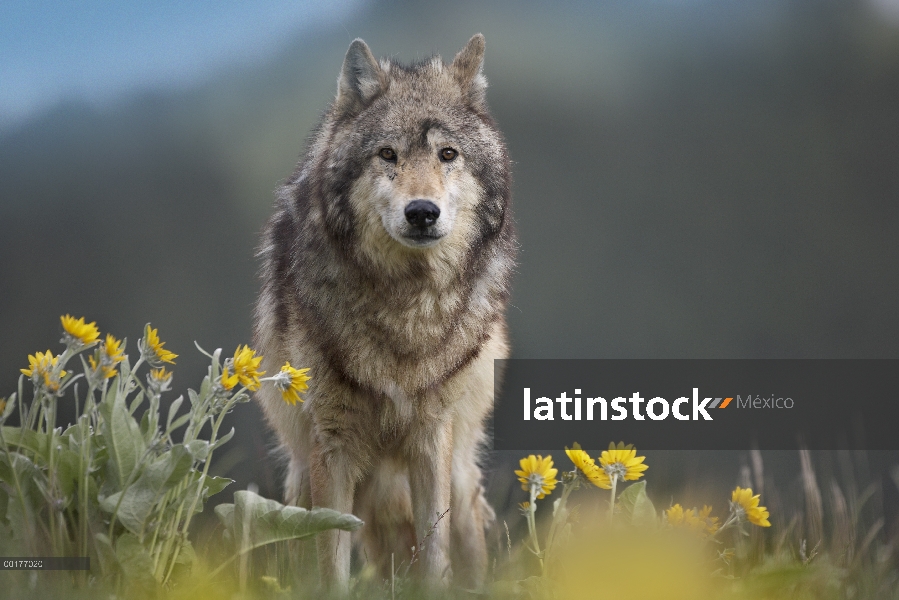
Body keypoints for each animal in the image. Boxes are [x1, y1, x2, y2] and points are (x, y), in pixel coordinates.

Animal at [253, 34, 516, 592]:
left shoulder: (431, 441)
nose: (422, 212)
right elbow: (330, 560)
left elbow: (436, 555)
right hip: (303, 481)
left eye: (447, 154)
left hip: (459, 475)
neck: (404, 306)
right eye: (387, 154)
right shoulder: (331, 446)